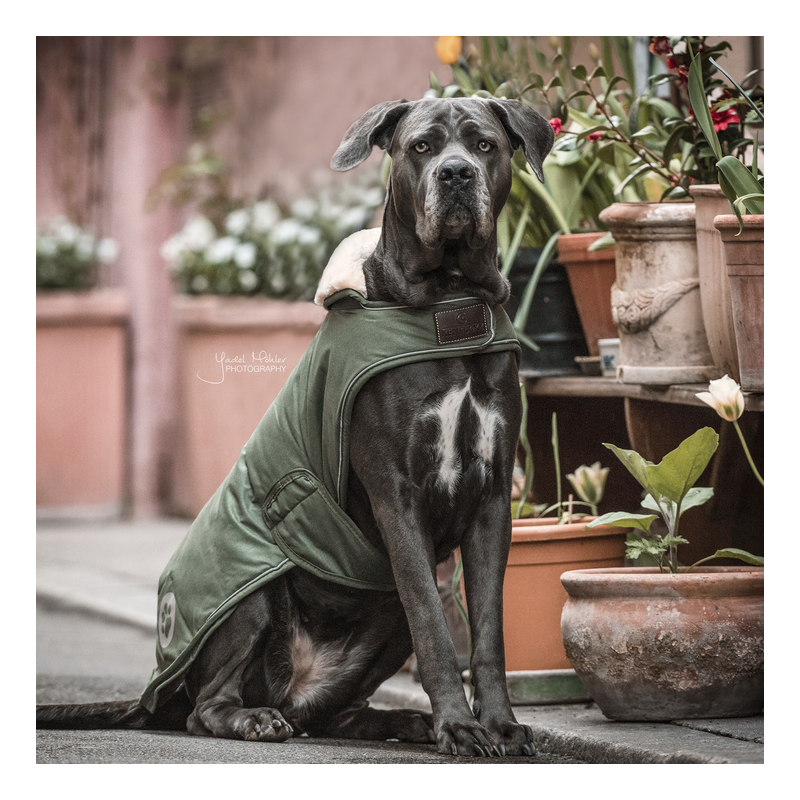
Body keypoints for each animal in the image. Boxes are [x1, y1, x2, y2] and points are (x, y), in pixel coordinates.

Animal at [37, 95, 556, 756]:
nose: (456, 175)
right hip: (256, 592)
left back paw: (401, 721)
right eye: (421, 147)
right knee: (206, 707)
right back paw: (255, 719)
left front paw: (500, 726)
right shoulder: (398, 499)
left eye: (484, 144)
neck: (447, 304)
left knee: (335, 711)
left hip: (381, 614)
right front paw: (461, 728)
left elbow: (488, 633)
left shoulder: (490, 502)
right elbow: (438, 632)